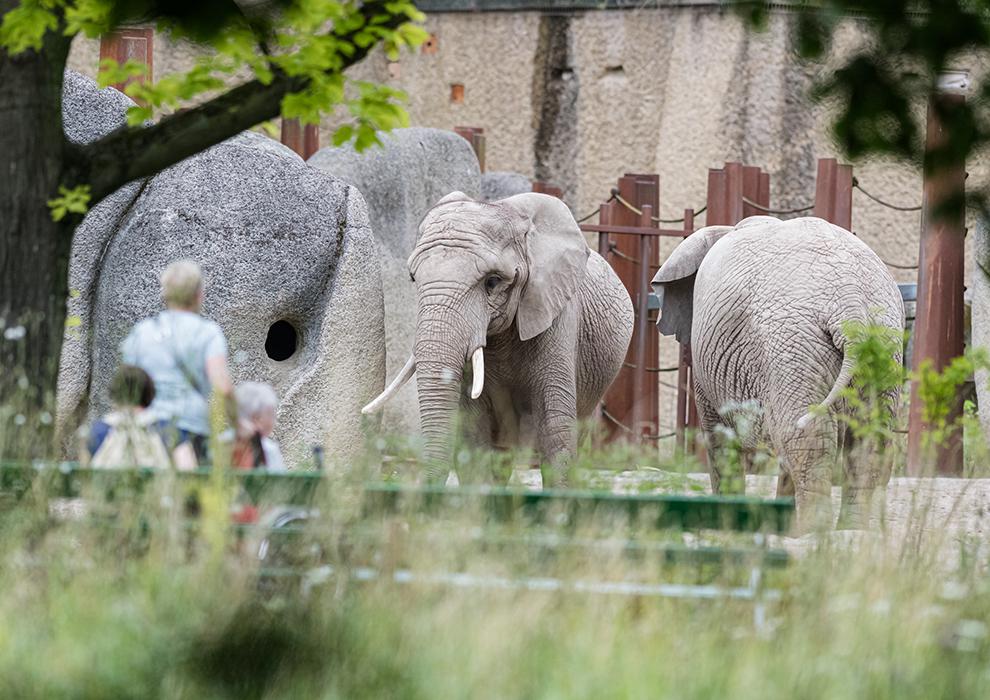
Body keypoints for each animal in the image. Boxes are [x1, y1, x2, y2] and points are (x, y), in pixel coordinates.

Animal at [652, 216, 908, 528]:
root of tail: (851, 303)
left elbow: (720, 437)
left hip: (793, 347)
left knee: (804, 435)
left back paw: (811, 531)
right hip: (881, 345)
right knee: (869, 439)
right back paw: (849, 531)